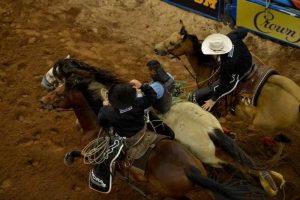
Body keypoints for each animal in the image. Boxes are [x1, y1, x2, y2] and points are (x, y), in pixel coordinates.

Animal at [38, 81, 264, 200]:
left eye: (59, 93)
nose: (41, 101)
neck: (95, 125)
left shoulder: (91, 152)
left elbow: (78, 153)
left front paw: (69, 158)